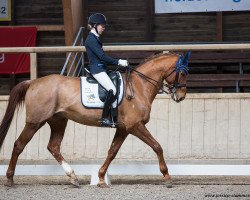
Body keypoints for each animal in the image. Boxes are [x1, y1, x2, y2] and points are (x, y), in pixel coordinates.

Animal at [0, 51, 188, 188]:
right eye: (183, 73)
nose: (181, 96)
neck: (139, 85)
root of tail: (33, 82)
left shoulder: (123, 128)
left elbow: (112, 152)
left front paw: (101, 178)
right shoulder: (135, 126)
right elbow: (157, 146)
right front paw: (167, 176)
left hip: (58, 121)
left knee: (53, 147)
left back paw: (73, 178)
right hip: (35, 122)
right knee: (19, 145)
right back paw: (9, 180)